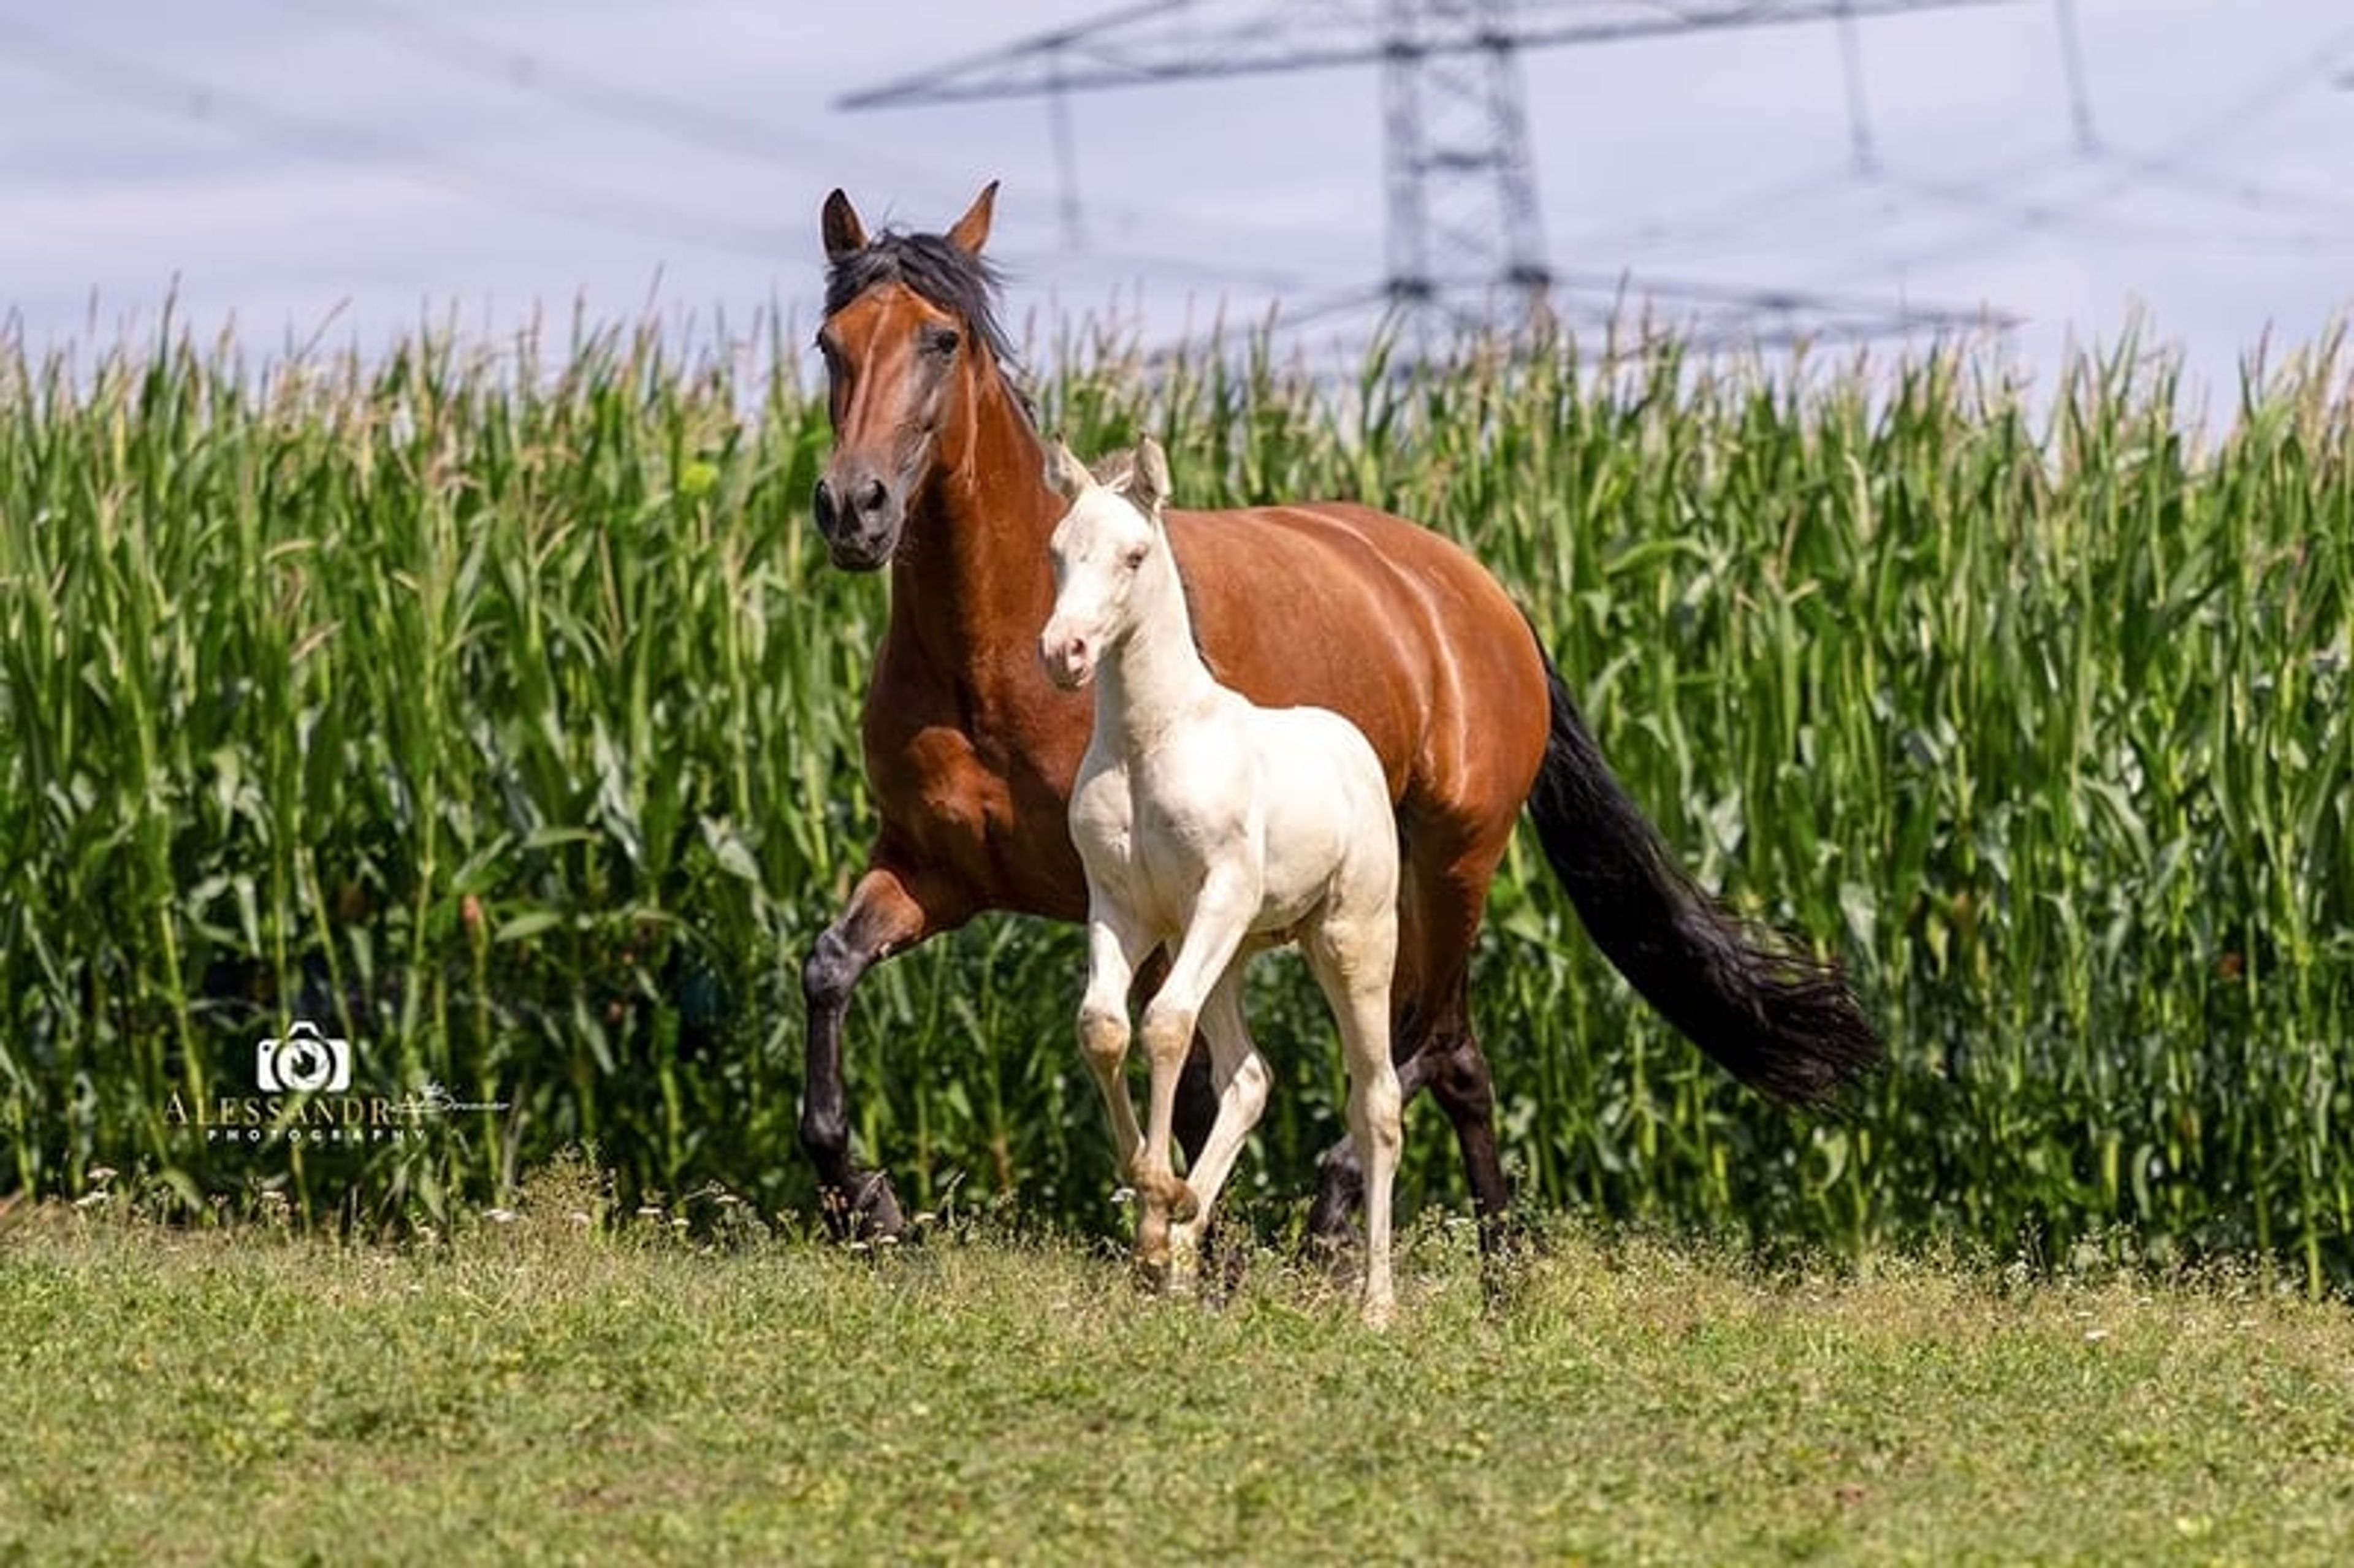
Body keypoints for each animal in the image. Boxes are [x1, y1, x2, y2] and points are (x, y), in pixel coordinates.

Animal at [1041, 435, 1403, 1323]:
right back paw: (1182, 1236)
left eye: (1135, 555)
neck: (1148, 743)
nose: (1063, 653)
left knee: (1377, 1099)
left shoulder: (1220, 894)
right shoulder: (1122, 908)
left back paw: (1376, 1302)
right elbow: (1105, 1025)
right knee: (1249, 1076)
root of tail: (1354, 746)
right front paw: (1154, 1208)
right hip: (1229, 951)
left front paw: (1155, 1202)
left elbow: (1165, 1024)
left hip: (1348, 938)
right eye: (1058, 551)